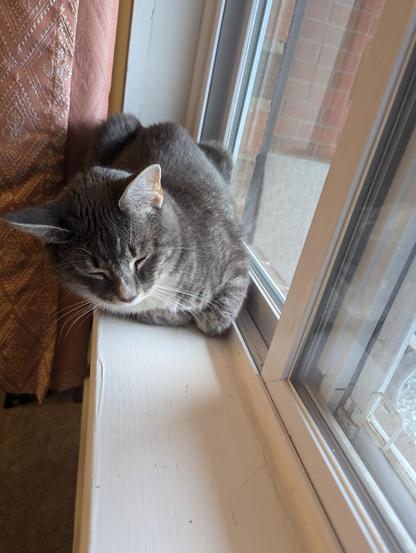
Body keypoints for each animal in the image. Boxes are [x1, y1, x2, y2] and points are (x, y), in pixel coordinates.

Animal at [2, 114, 247, 334]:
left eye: (141, 259)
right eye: (95, 271)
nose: (128, 296)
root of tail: (164, 124)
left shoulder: (232, 249)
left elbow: (225, 302)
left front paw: (207, 316)